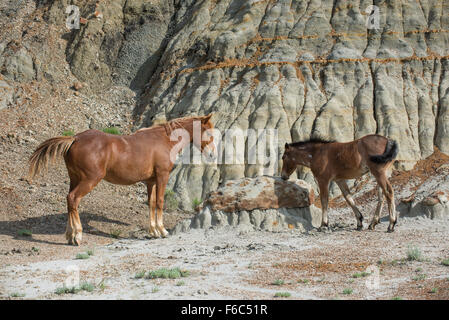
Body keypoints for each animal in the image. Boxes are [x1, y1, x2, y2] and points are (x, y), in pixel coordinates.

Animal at [27, 114, 215, 245]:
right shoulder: (162, 176)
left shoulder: (151, 181)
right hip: (89, 180)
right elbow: (161, 202)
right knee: (73, 199)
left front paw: (153, 231)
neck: (164, 140)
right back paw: (77, 236)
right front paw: (162, 231)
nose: (212, 154)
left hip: (74, 179)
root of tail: (75, 138)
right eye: (208, 131)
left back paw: (69, 235)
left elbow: (152, 203)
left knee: (69, 202)